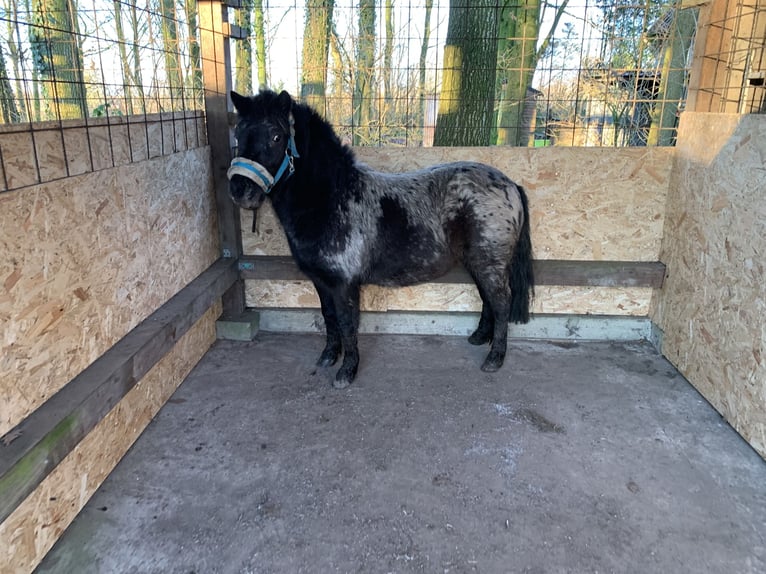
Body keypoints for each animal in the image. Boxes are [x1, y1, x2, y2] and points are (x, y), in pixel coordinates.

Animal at [228, 90, 536, 392]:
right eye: (238, 133)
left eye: (276, 136)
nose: (240, 190)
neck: (333, 198)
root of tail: (510, 185)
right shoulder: (321, 281)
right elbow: (328, 317)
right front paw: (328, 356)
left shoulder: (343, 284)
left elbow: (347, 323)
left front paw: (346, 372)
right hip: (477, 262)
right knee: (488, 299)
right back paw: (479, 337)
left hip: (490, 264)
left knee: (500, 302)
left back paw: (494, 358)